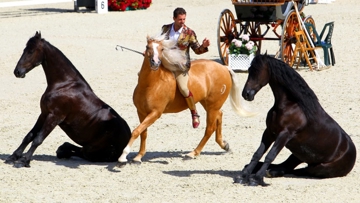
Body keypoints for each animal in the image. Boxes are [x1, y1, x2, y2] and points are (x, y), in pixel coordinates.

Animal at [5, 31, 131, 167]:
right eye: (25, 49)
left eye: (31, 51)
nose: (17, 72)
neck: (64, 84)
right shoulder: (43, 114)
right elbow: (29, 136)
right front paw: (13, 156)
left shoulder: (54, 117)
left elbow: (38, 139)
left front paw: (25, 160)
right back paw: (62, 150)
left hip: (93, 151)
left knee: (83, 152)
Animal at [118, 34, 253, 166]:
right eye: (147, 47)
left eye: (161, 49)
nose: (155, 62)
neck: (150, 84)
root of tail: (224, 67)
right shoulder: (141, 112)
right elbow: (143, 133)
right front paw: (138, 157)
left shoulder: (155, 113)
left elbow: (136, 131)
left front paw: (123, 156)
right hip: (209, 104)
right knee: (219, 116)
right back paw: (224, 145)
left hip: (212, 106)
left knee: (210, 128)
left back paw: (193, 153)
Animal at [235, 54, 356, 187]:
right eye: (250, 70)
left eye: (257, 71)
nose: (246, 94)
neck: (289, 106)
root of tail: (352, 151)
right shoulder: (269, 132)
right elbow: (258, 153)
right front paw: (243, 176)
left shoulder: (284, 135)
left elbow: (270, 155)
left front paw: (256, 179)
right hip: (298, 155)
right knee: (286, 166)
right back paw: (270, 170)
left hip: (320, 167)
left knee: (302, 170)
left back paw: (271, 172)